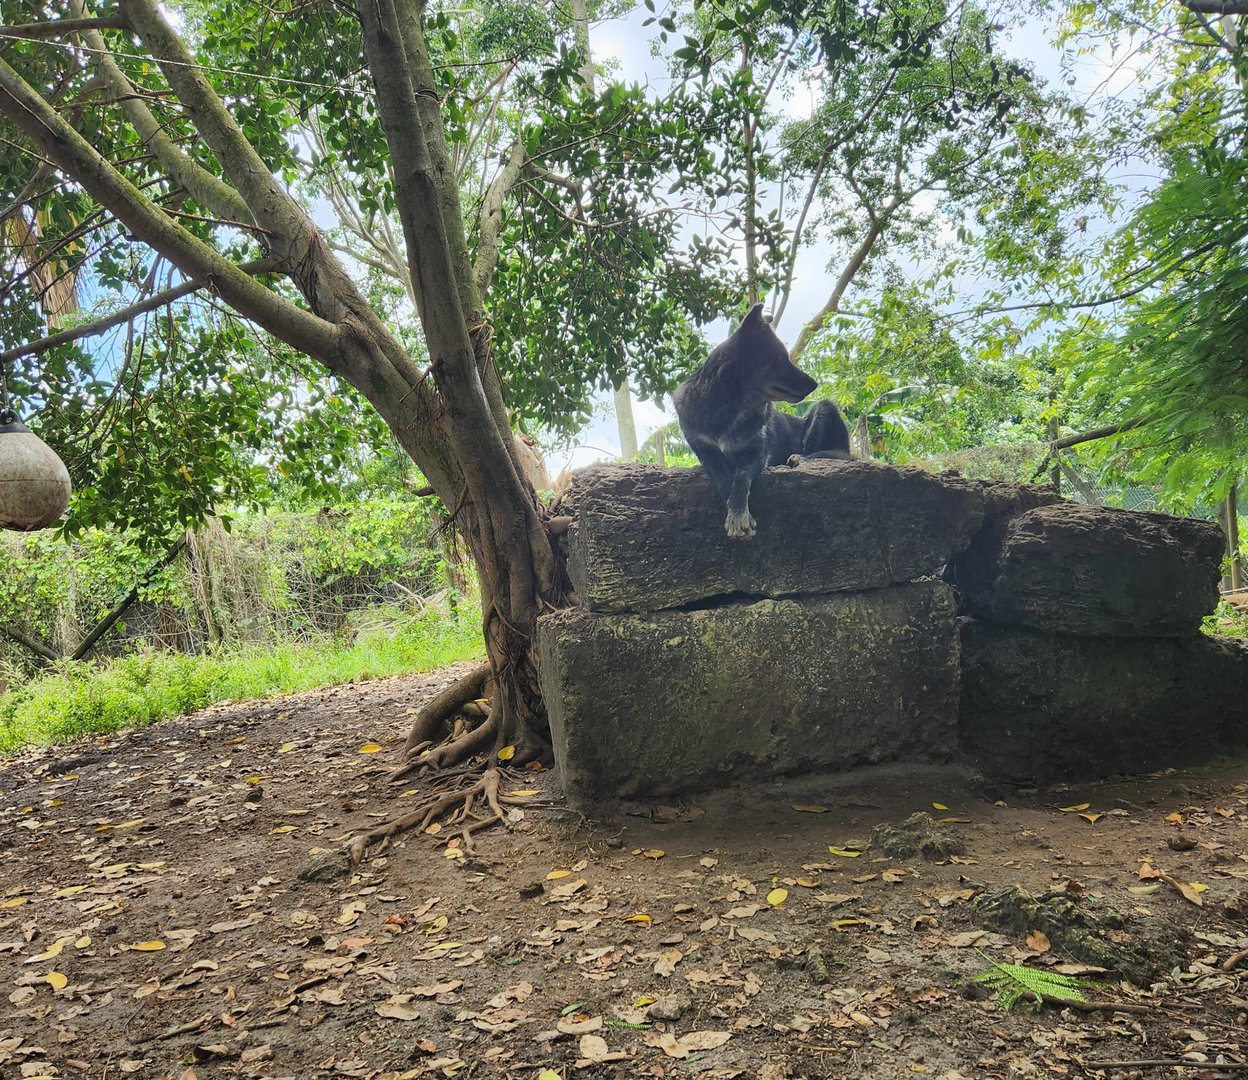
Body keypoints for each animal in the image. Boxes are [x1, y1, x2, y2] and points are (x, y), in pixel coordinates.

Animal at [672, 303, 850, 539]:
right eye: (781, 359)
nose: (815, 384)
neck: (732, 408)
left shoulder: (758, 453)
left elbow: (741, 477)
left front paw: (738, 514)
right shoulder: (705, 450)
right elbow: (723, 479)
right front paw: (735, 512)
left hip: (824, 408)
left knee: (824, 452)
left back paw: (799, 458)